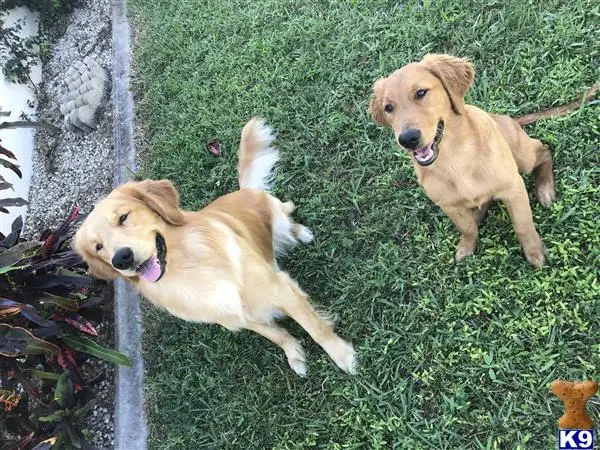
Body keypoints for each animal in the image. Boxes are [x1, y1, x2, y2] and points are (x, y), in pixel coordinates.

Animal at [75, 117, 356, 376]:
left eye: (123, 217)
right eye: (98, 247)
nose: (121, 258)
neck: (189, 271)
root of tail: (243, 190)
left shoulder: (281, 288)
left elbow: (315, 328)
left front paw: (343, 356)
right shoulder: (237, 316)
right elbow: (276, 334)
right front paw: (294, 353)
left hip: (276, 212)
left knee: (288, 210)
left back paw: (301, 233)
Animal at [368, 55, 556, 268]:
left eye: (421, 92)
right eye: (388, 108)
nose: (407, 139)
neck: (454, 158)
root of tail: (510, 118)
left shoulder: (513, 187)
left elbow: (523, 225)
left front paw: (534, 252)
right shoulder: (449, 206)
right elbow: (467, 228)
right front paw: (467, 246)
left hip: (523, 155)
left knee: (544, 150)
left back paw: (545, 190)